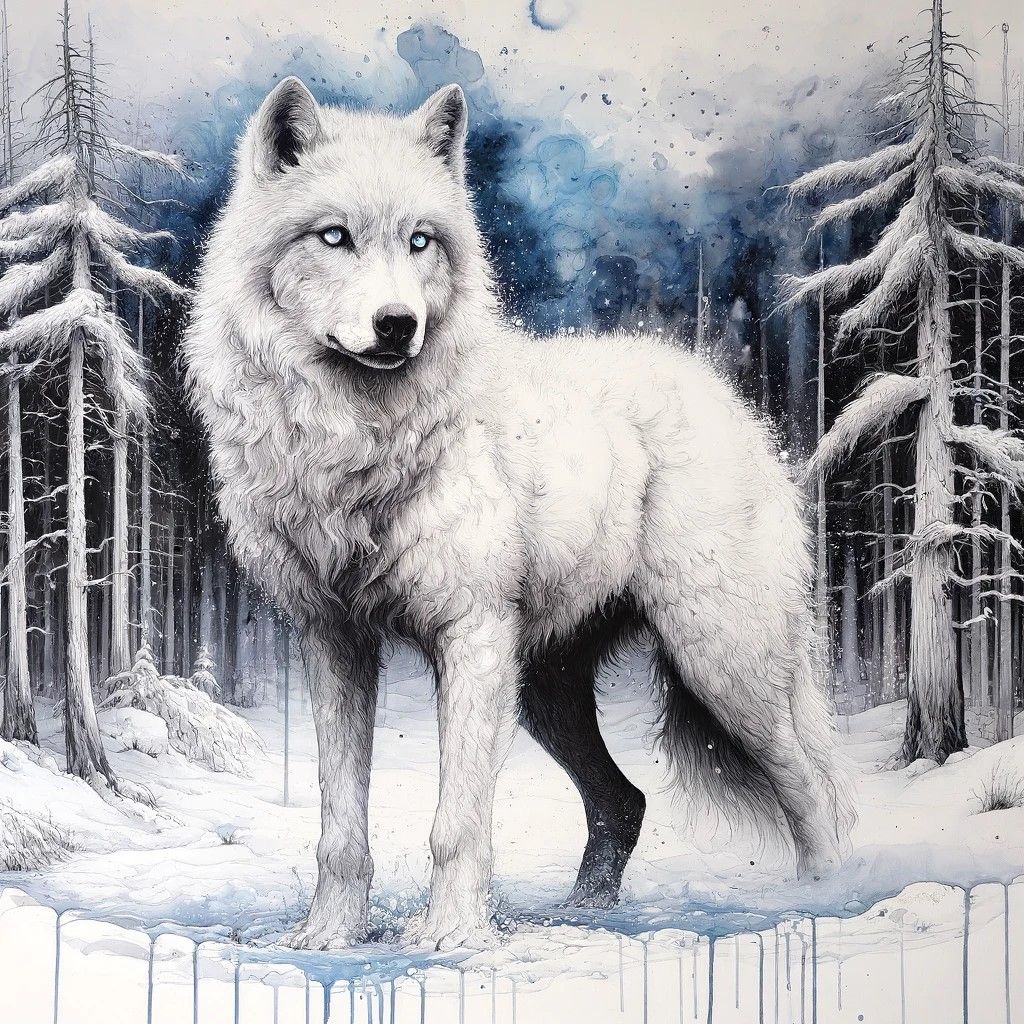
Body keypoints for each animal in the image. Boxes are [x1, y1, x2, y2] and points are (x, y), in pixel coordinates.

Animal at [184, 77, 852, 951]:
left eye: (421, 242)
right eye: (334, 237)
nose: (398, 325)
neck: (361, 444)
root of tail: (729, 397)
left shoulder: (470, 636)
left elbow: (456, 823)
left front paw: (452, 937)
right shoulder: (335, 642)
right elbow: (340, 826)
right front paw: (329, 935)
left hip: (721, 664)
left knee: (813, 792)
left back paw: (827, 899)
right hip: (548, 691)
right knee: (625, 801)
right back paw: (583, 914)